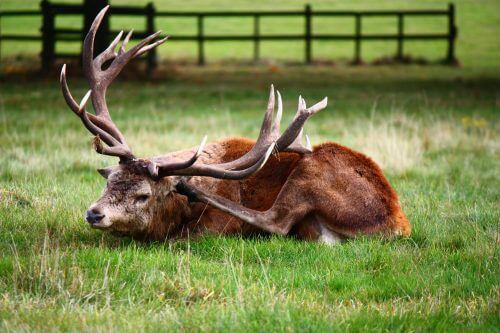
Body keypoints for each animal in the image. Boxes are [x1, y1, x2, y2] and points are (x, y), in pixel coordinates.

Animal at [59, 5, 410, 244]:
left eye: (143, 195)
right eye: (109, 181)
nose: (94, 213)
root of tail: (398, 225)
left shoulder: (216, 227)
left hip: (315, 168)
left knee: (276, 221)